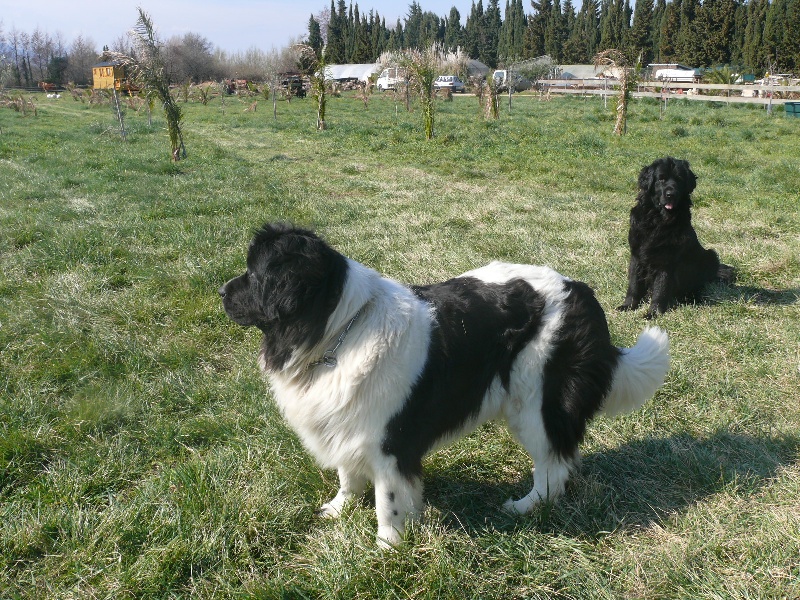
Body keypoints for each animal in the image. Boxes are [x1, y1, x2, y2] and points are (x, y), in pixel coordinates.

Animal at [220, 223, 668, 548]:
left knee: (552, 465)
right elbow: (348, 475)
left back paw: (525, 507)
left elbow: (388, 501)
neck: (338, 332)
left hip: (536, 403)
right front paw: (339, 509)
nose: (221, 290)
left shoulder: (391, 444)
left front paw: (387, 549)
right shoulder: (347, 421)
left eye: (255, 274)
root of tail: (582, 292)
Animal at [616, 159, 736, 318]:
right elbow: (634, 285)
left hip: (710, 256)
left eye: (679, 179)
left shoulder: (667, 261)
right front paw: (628, 306)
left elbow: (660, 289)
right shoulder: (637, 255)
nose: (670, 194)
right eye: (661, 179)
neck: (658, 220)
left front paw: (653, 313)